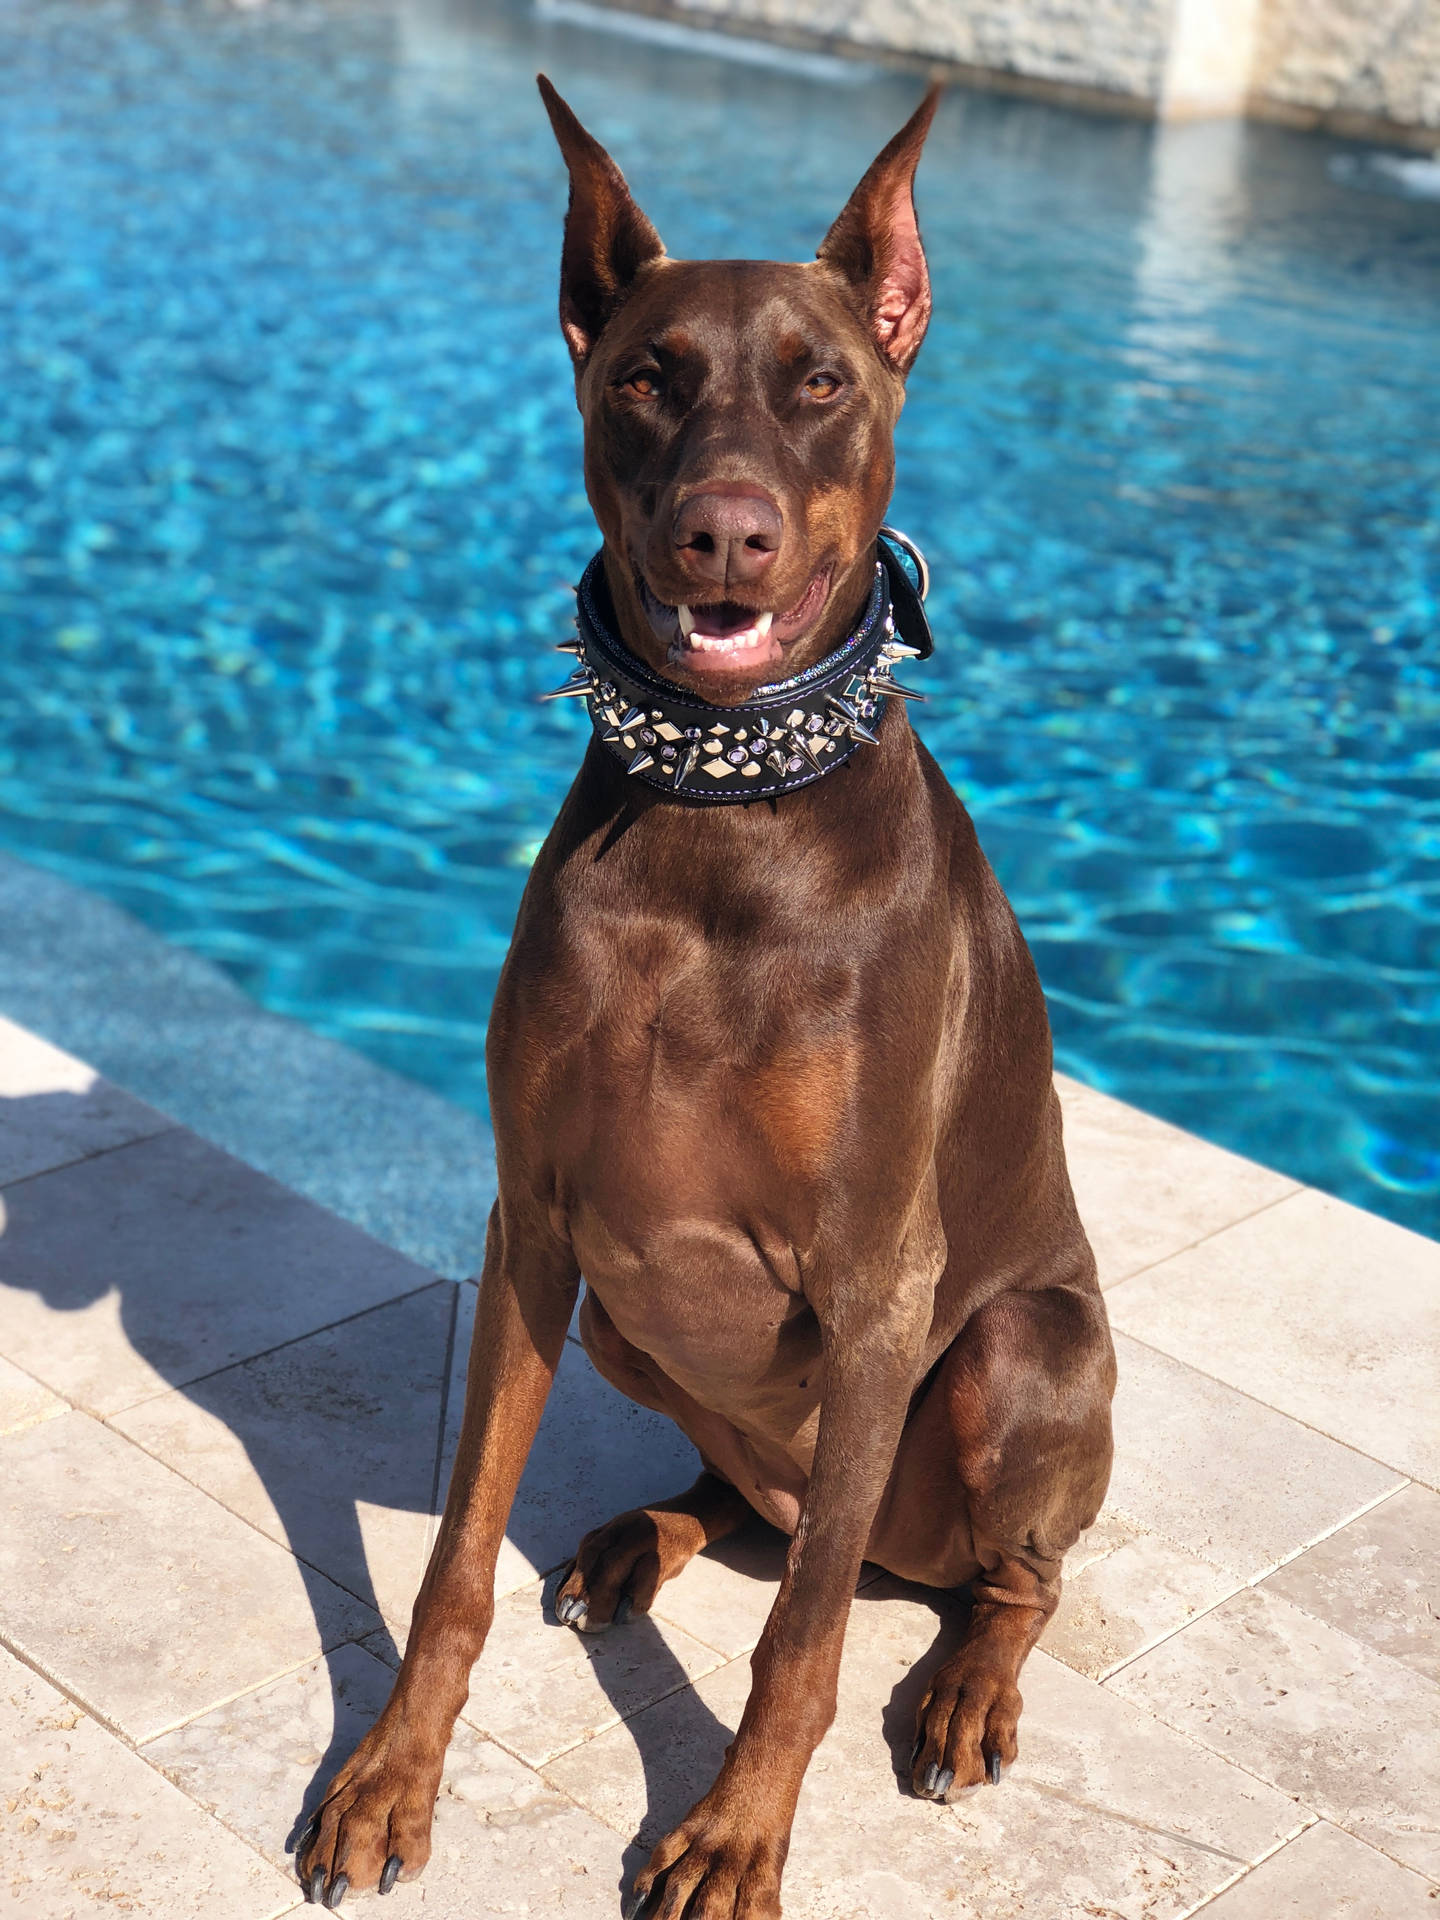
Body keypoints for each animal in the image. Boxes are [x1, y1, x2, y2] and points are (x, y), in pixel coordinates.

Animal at [299, 78, 1121, 1920]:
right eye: (647, 376)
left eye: (821, 383)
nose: (723, 531)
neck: (719, 809)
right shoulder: (532, 1223)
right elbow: (454, 1562)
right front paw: (390, 1776)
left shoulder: (881, 1282)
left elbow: (798, 1650)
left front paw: (736, 1836)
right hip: (629, 1310)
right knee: (752, 1498)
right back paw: (641, 1535)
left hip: (1014, 1356)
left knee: (999, 1579)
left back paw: (961, 1689)